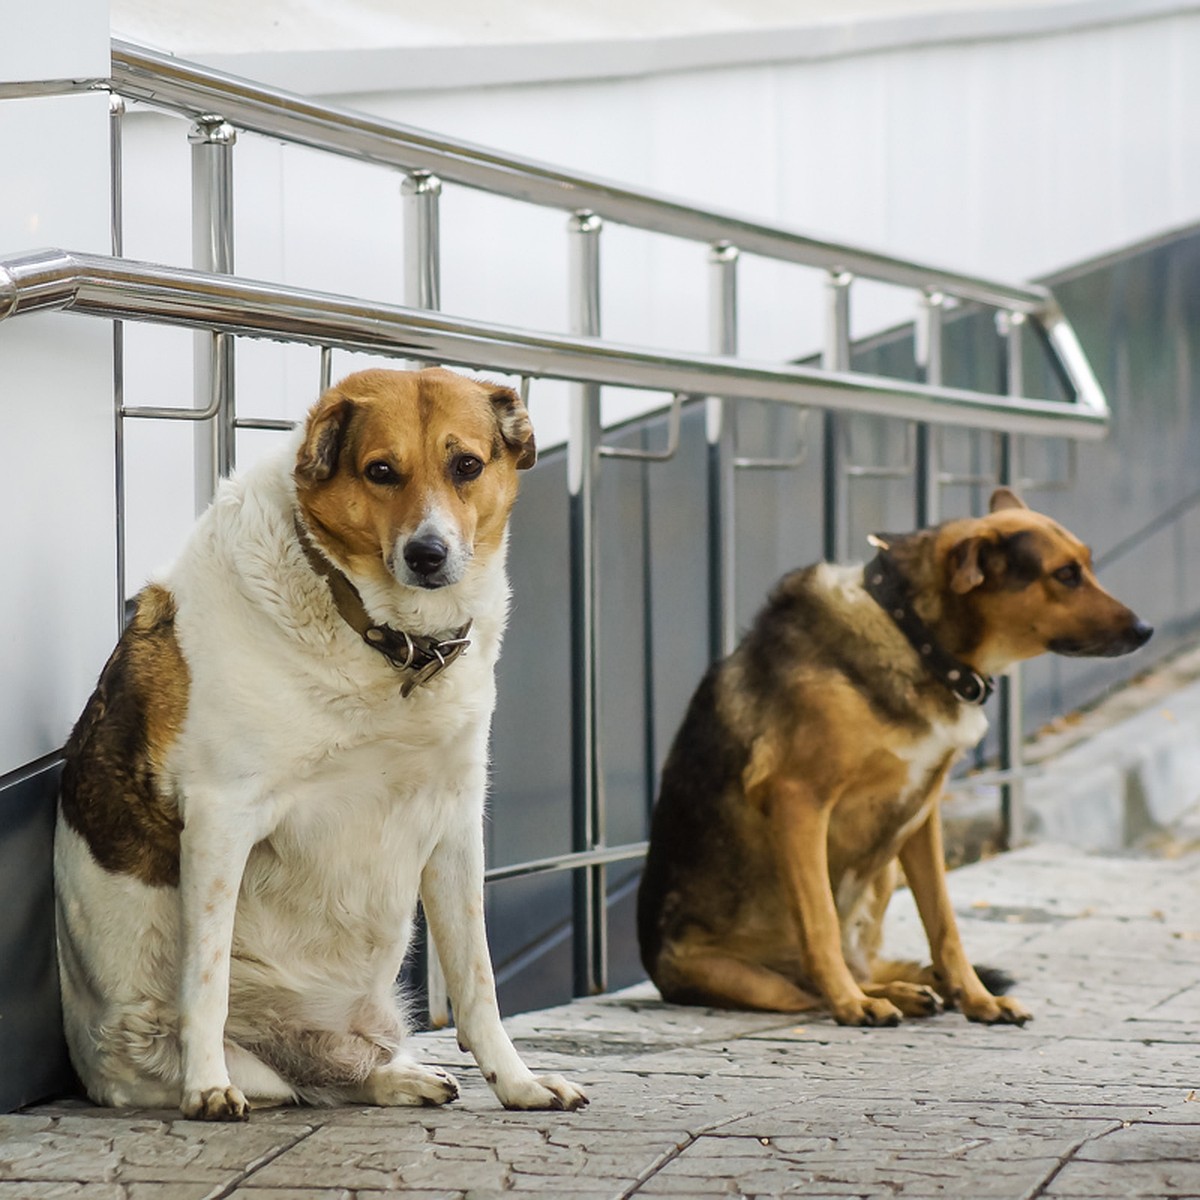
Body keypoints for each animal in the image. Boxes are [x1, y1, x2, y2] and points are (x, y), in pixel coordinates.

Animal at [54, 367, 588, 1123]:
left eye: (466, 465)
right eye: (381, 470)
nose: (427, 554)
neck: (386, 639)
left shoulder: (456, 820)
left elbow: (478, 981)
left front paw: (517, 1083)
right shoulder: (221, 816)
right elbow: (206, 978)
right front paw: (205, 1085)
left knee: (338, 1077)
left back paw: (400, 1077)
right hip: (190, 1055)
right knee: (281, 1075)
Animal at [638, 487, 1152, 1022]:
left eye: (1086, 564)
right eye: (1065, 575)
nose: (1146, 630)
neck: (917, 638)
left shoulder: (922, 814)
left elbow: (944, 924)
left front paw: (977, 1000)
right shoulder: (800, 800)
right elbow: (820, 920)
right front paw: (851, 1004)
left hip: (883, 870)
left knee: (860, 967)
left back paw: (903, 992)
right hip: (757, 982)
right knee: (808, 989)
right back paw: (861, 996)